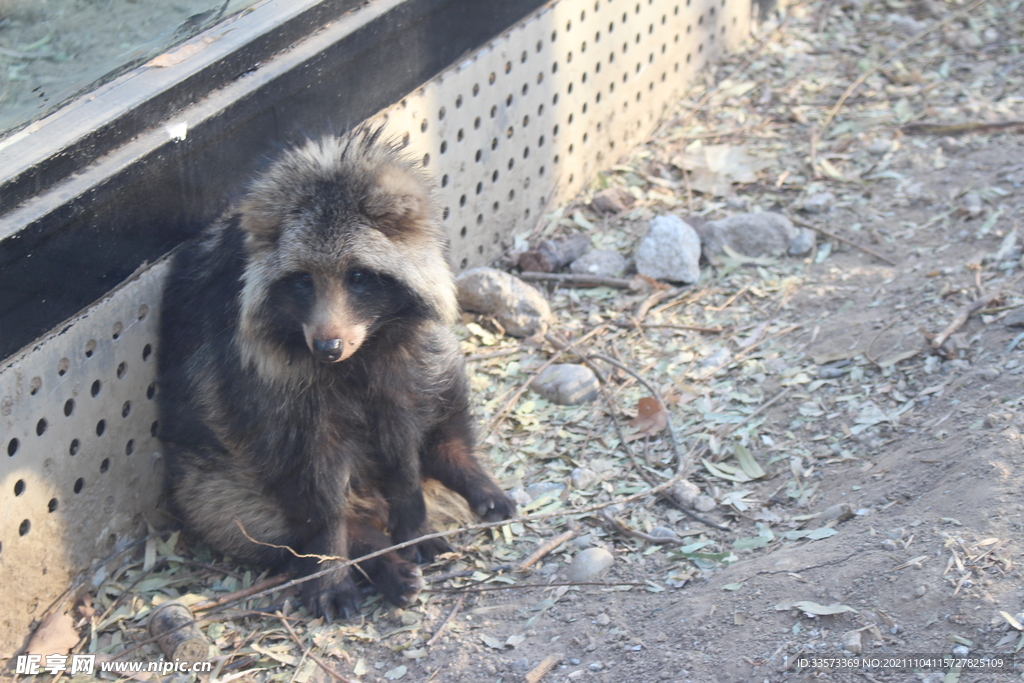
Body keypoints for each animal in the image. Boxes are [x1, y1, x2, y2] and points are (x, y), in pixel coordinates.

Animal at [158, 126, 516, 618]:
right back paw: (372, 550)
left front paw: (413, 518)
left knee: (442, 387)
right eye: (302, 280)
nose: (327, 348)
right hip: (213, 475)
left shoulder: (396, 363)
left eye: (358, 276)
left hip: (427, 357)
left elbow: (404, 444)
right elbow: (316, 486)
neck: (360, 354)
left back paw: (458, 465)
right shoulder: (270, 389)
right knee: (240, 512)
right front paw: (333, 560)